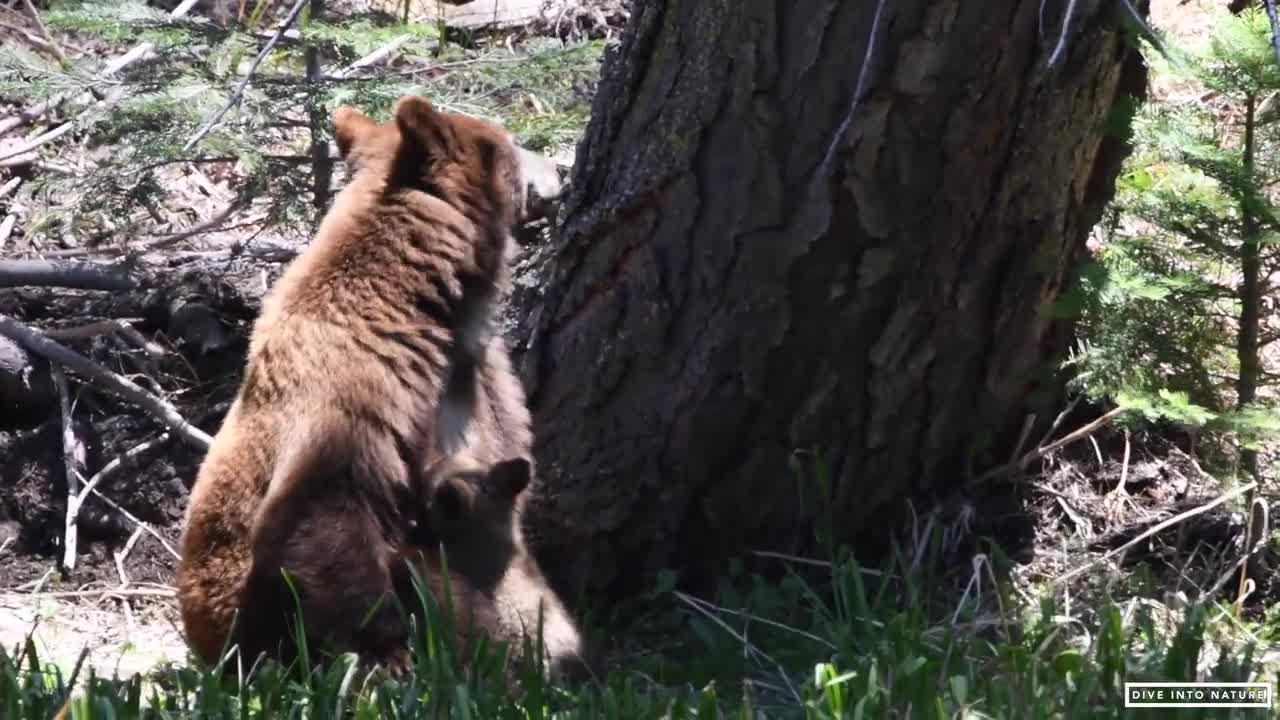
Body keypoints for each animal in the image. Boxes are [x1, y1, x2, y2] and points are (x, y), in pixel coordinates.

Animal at [172, 94, 573, 671]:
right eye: (511, 144)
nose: (559, 170)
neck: (419, 306)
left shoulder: (479, 382)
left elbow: (500, 488)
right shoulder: (358, 392)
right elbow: (322, 519)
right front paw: (392, 657)